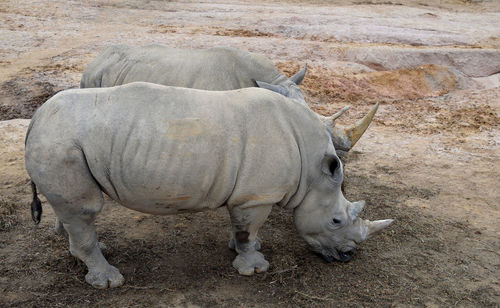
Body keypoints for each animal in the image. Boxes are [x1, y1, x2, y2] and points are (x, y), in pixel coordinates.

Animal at [25, 82, 394, 288]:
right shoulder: (258, 196)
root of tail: (35, 119)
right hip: (60, 143)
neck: (313, 170)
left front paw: (250, 248)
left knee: (73, 212)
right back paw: (109, 282)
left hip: (61, 142)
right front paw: (254, 268)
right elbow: (247, 231)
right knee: (85, 209)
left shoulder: (248, 195)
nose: (347, 256)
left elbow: (245, 228)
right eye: (336, 220)